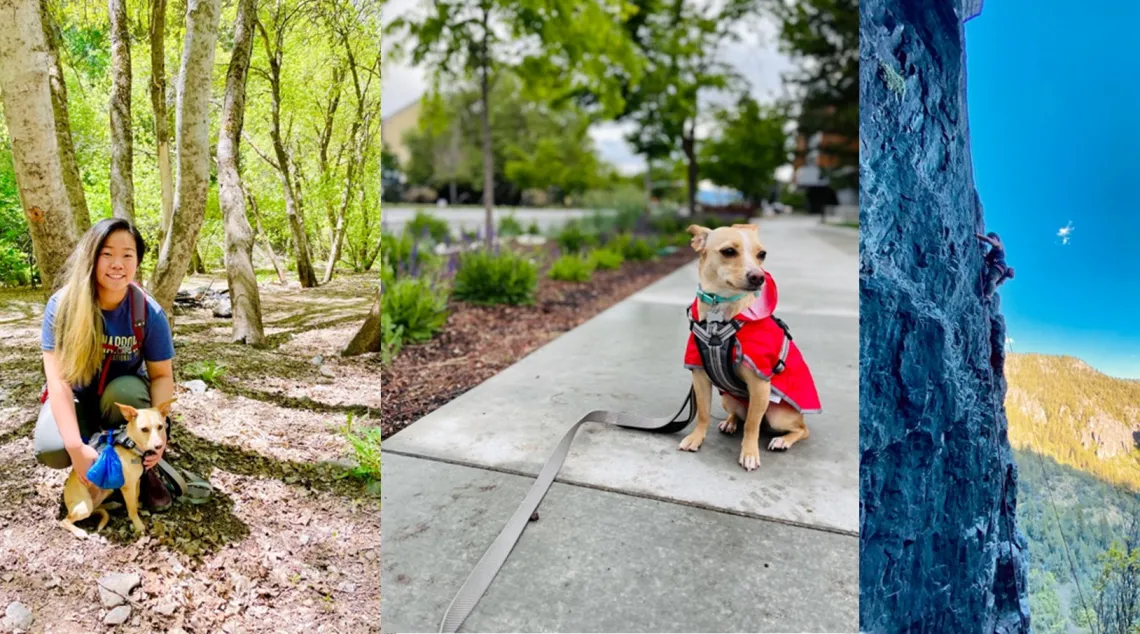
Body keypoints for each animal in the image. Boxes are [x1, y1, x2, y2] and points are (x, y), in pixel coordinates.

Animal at [60, 399, 172, 538]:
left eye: (160, 427)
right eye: (144, 429)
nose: (159, 446)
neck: (131, 447)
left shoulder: (136, 482)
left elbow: (135, 499)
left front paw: (138, 506)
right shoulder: (128, 487)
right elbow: (132, 509)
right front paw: (138, 524)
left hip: (107, 491)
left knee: (96, 508)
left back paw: (111, 505)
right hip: (84, 507)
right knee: (65, 520)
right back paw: (79, 532)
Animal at [674, 224, 820, 469]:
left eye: (762, 254)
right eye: (728, 252)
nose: (758, 277)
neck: (720, 311)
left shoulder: (760, 384)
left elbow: (752, 425)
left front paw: (750, 454)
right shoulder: (700, 376)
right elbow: (703, 413)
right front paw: (696, 438)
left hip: (779, 415)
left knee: (800, 429)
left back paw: (782, 440)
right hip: (729, 399)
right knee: (741, 416)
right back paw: (731, 422)